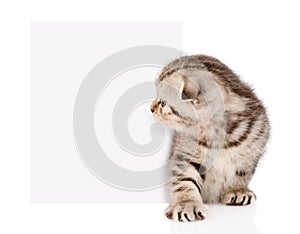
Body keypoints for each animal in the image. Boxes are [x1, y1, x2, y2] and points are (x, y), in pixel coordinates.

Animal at [150, 54, 270, 221]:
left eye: (162, 102)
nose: (151, 108)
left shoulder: (254, 146)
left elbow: (242, 172)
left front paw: (237, 189)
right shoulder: (184, 154)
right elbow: (185, 180)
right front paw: (187, 203)